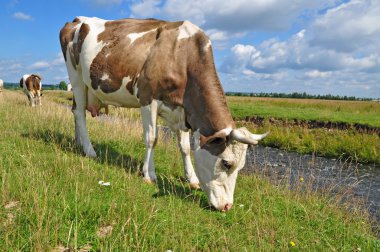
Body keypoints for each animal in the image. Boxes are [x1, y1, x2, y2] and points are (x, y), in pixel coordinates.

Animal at [59, 16, 268, 212]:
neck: (182, 56)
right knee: (80, 113)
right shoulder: (147, 98)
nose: (227, 206)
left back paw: (78, 143)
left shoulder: (182, 110)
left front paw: (192, 179)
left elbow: (185, 147)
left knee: (75, 111)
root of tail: (77, 20)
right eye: (226, 163)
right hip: (76, 77)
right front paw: (148, 174)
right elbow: (152, 138)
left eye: (241, 167)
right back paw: (90, 150)